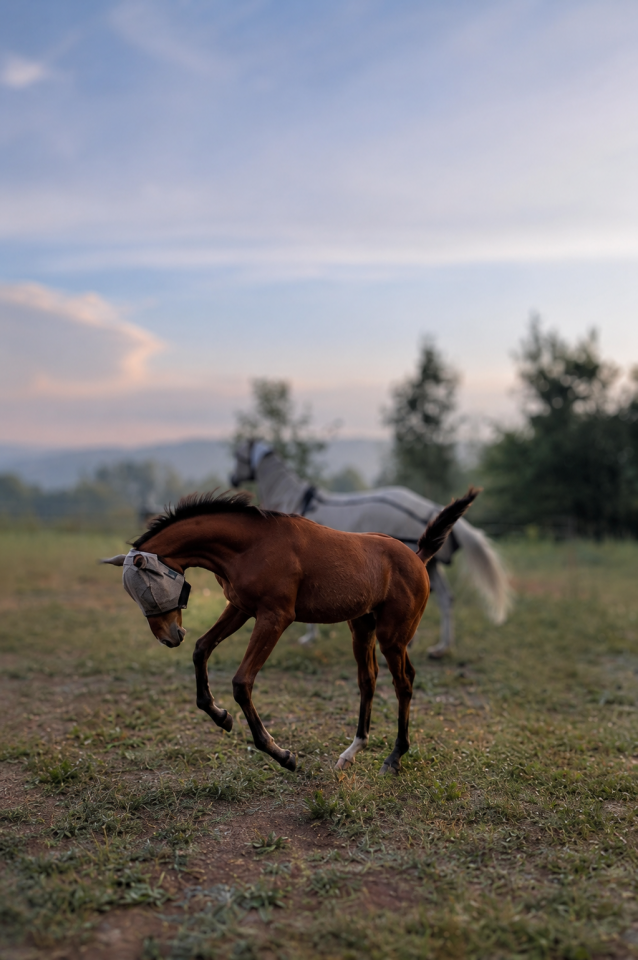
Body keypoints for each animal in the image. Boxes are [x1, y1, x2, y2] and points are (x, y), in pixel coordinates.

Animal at [102, 488, 478, 775]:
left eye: (147, 590)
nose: (169, 637)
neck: (250, 545)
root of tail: (418, 557)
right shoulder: (240, 608)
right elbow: (201, 649)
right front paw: (220, 716)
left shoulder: (274, 618)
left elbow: (242, 682)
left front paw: (281, 754)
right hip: (362, 629)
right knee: (368, 680)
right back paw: (351, 752)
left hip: (393, 637)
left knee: (404, 683)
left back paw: (395, 756)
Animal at [230, 440, 510, 655]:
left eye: (239, 455)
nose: (232, 479)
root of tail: (428, 508)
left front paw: (309, 637)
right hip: (429, 566)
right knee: (445, 599)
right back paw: (441, 647)